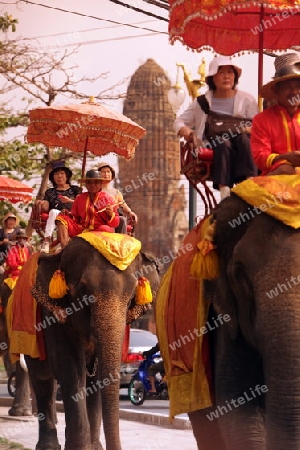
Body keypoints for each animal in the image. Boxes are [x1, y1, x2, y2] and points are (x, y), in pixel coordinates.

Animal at [26, 236, 161, 450]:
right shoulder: (53, 316)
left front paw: (94, 448)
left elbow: (98, 377)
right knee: (42, 379)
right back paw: (49, 446)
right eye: (83, 290)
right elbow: (70, 370)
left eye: (132, 295)